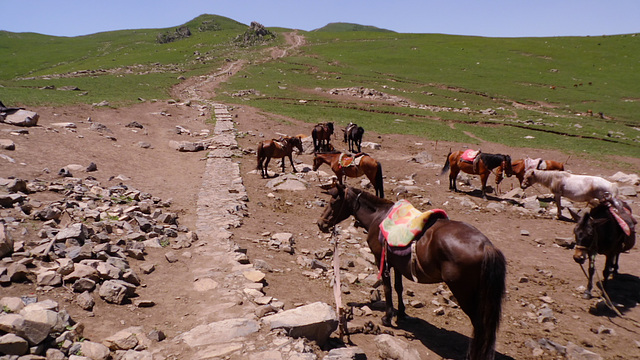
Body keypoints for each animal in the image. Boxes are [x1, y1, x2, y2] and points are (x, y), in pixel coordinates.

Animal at [318, 184, 508, 358]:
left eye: (333, 202)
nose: (321, 224)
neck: (377, 217)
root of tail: (486, 247)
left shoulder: (382, 261)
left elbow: (387, 288)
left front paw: (387, 317)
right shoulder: (398, 264)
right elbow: (398, 287)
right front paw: (401, 314)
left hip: (464, 293)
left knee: (479, 324)